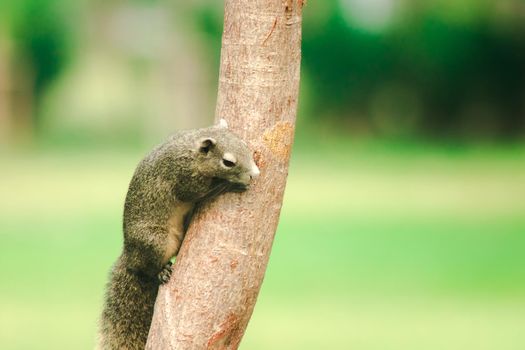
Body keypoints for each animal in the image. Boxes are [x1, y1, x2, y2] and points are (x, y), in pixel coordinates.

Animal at [97, 119, 258, 348]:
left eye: (245, 145)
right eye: (228, 162)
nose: (255, 173)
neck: (192, 151)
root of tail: (129, 256)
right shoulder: (182, 179)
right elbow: (200, 193)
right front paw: (229, 184)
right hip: (157, 241)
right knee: (147, 268)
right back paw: (160, 271)